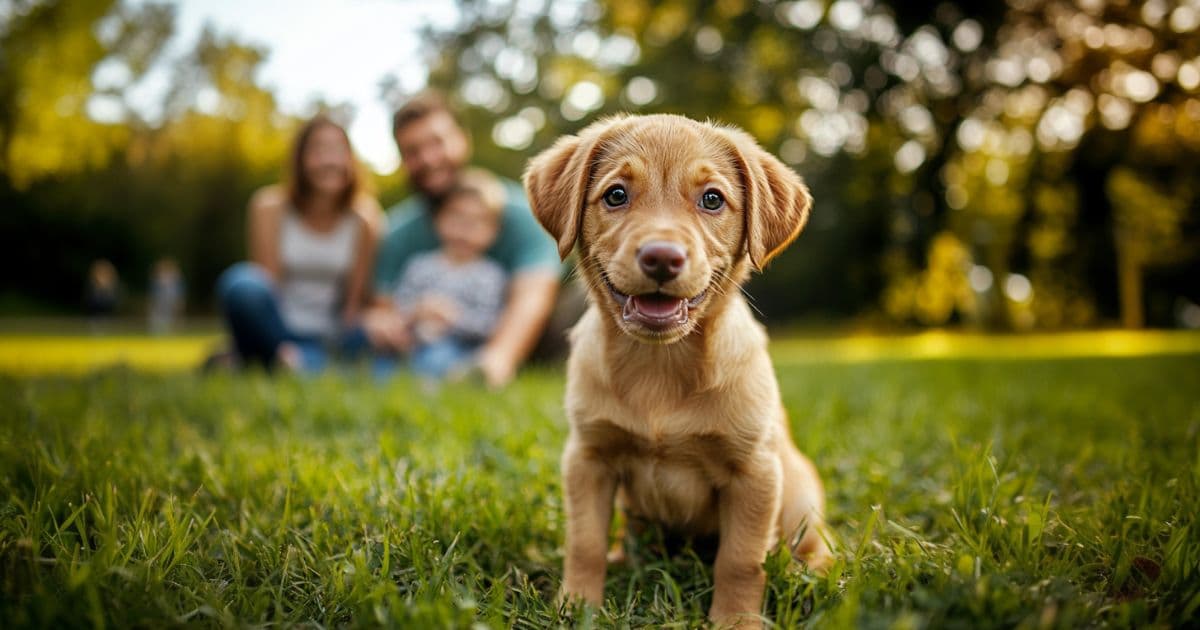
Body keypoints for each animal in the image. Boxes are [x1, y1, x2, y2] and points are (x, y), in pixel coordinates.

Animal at [525, 112, 835, 624]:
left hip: (801, 490)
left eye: (712, 199)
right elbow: (584, 542)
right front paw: (578, 605)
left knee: (813, 540)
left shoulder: (754, 471)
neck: (659, 364)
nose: (661, 257)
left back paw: (815, 572)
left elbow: (740, 559)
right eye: (616, 195)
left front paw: (735, 621)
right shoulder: (588, 458)